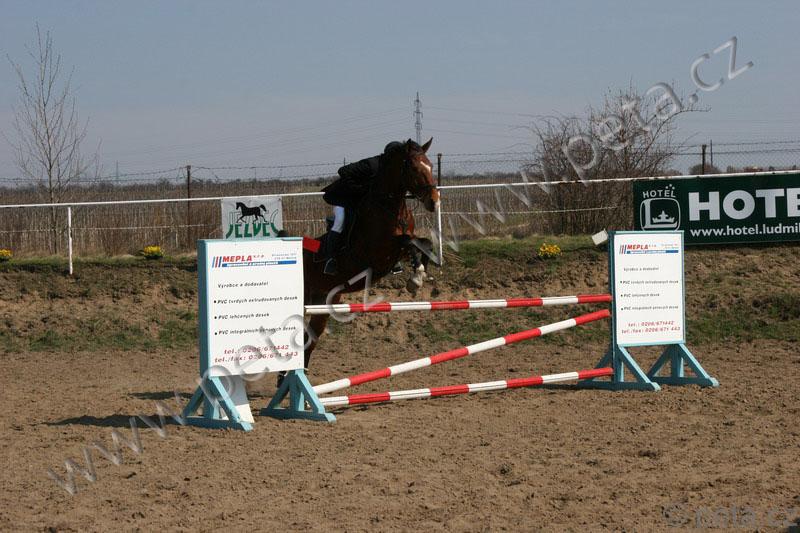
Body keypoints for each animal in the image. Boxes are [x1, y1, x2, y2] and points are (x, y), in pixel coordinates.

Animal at [302, 138, 439, 369]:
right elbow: (408, 241)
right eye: (413, 167)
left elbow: (424, 243)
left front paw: (419, 275)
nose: (433, 201)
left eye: (430, 165)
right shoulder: (377, 253)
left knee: (309, 340)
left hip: (324, 301)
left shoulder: (397, 251)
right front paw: (415, 279)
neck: (390, 205)